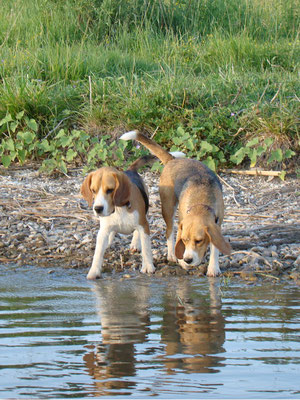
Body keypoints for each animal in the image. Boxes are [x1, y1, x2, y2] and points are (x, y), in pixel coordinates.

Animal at [120, 130, 231, 276]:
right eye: (184, 240)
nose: (188, 259)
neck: (200, 204)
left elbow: (215, 249)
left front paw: (213, 267)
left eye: (199, 241)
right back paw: (172, 254)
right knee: (168, 232)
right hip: (168, 208)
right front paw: (182, 261)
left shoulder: (218, 223)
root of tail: (173, 160)